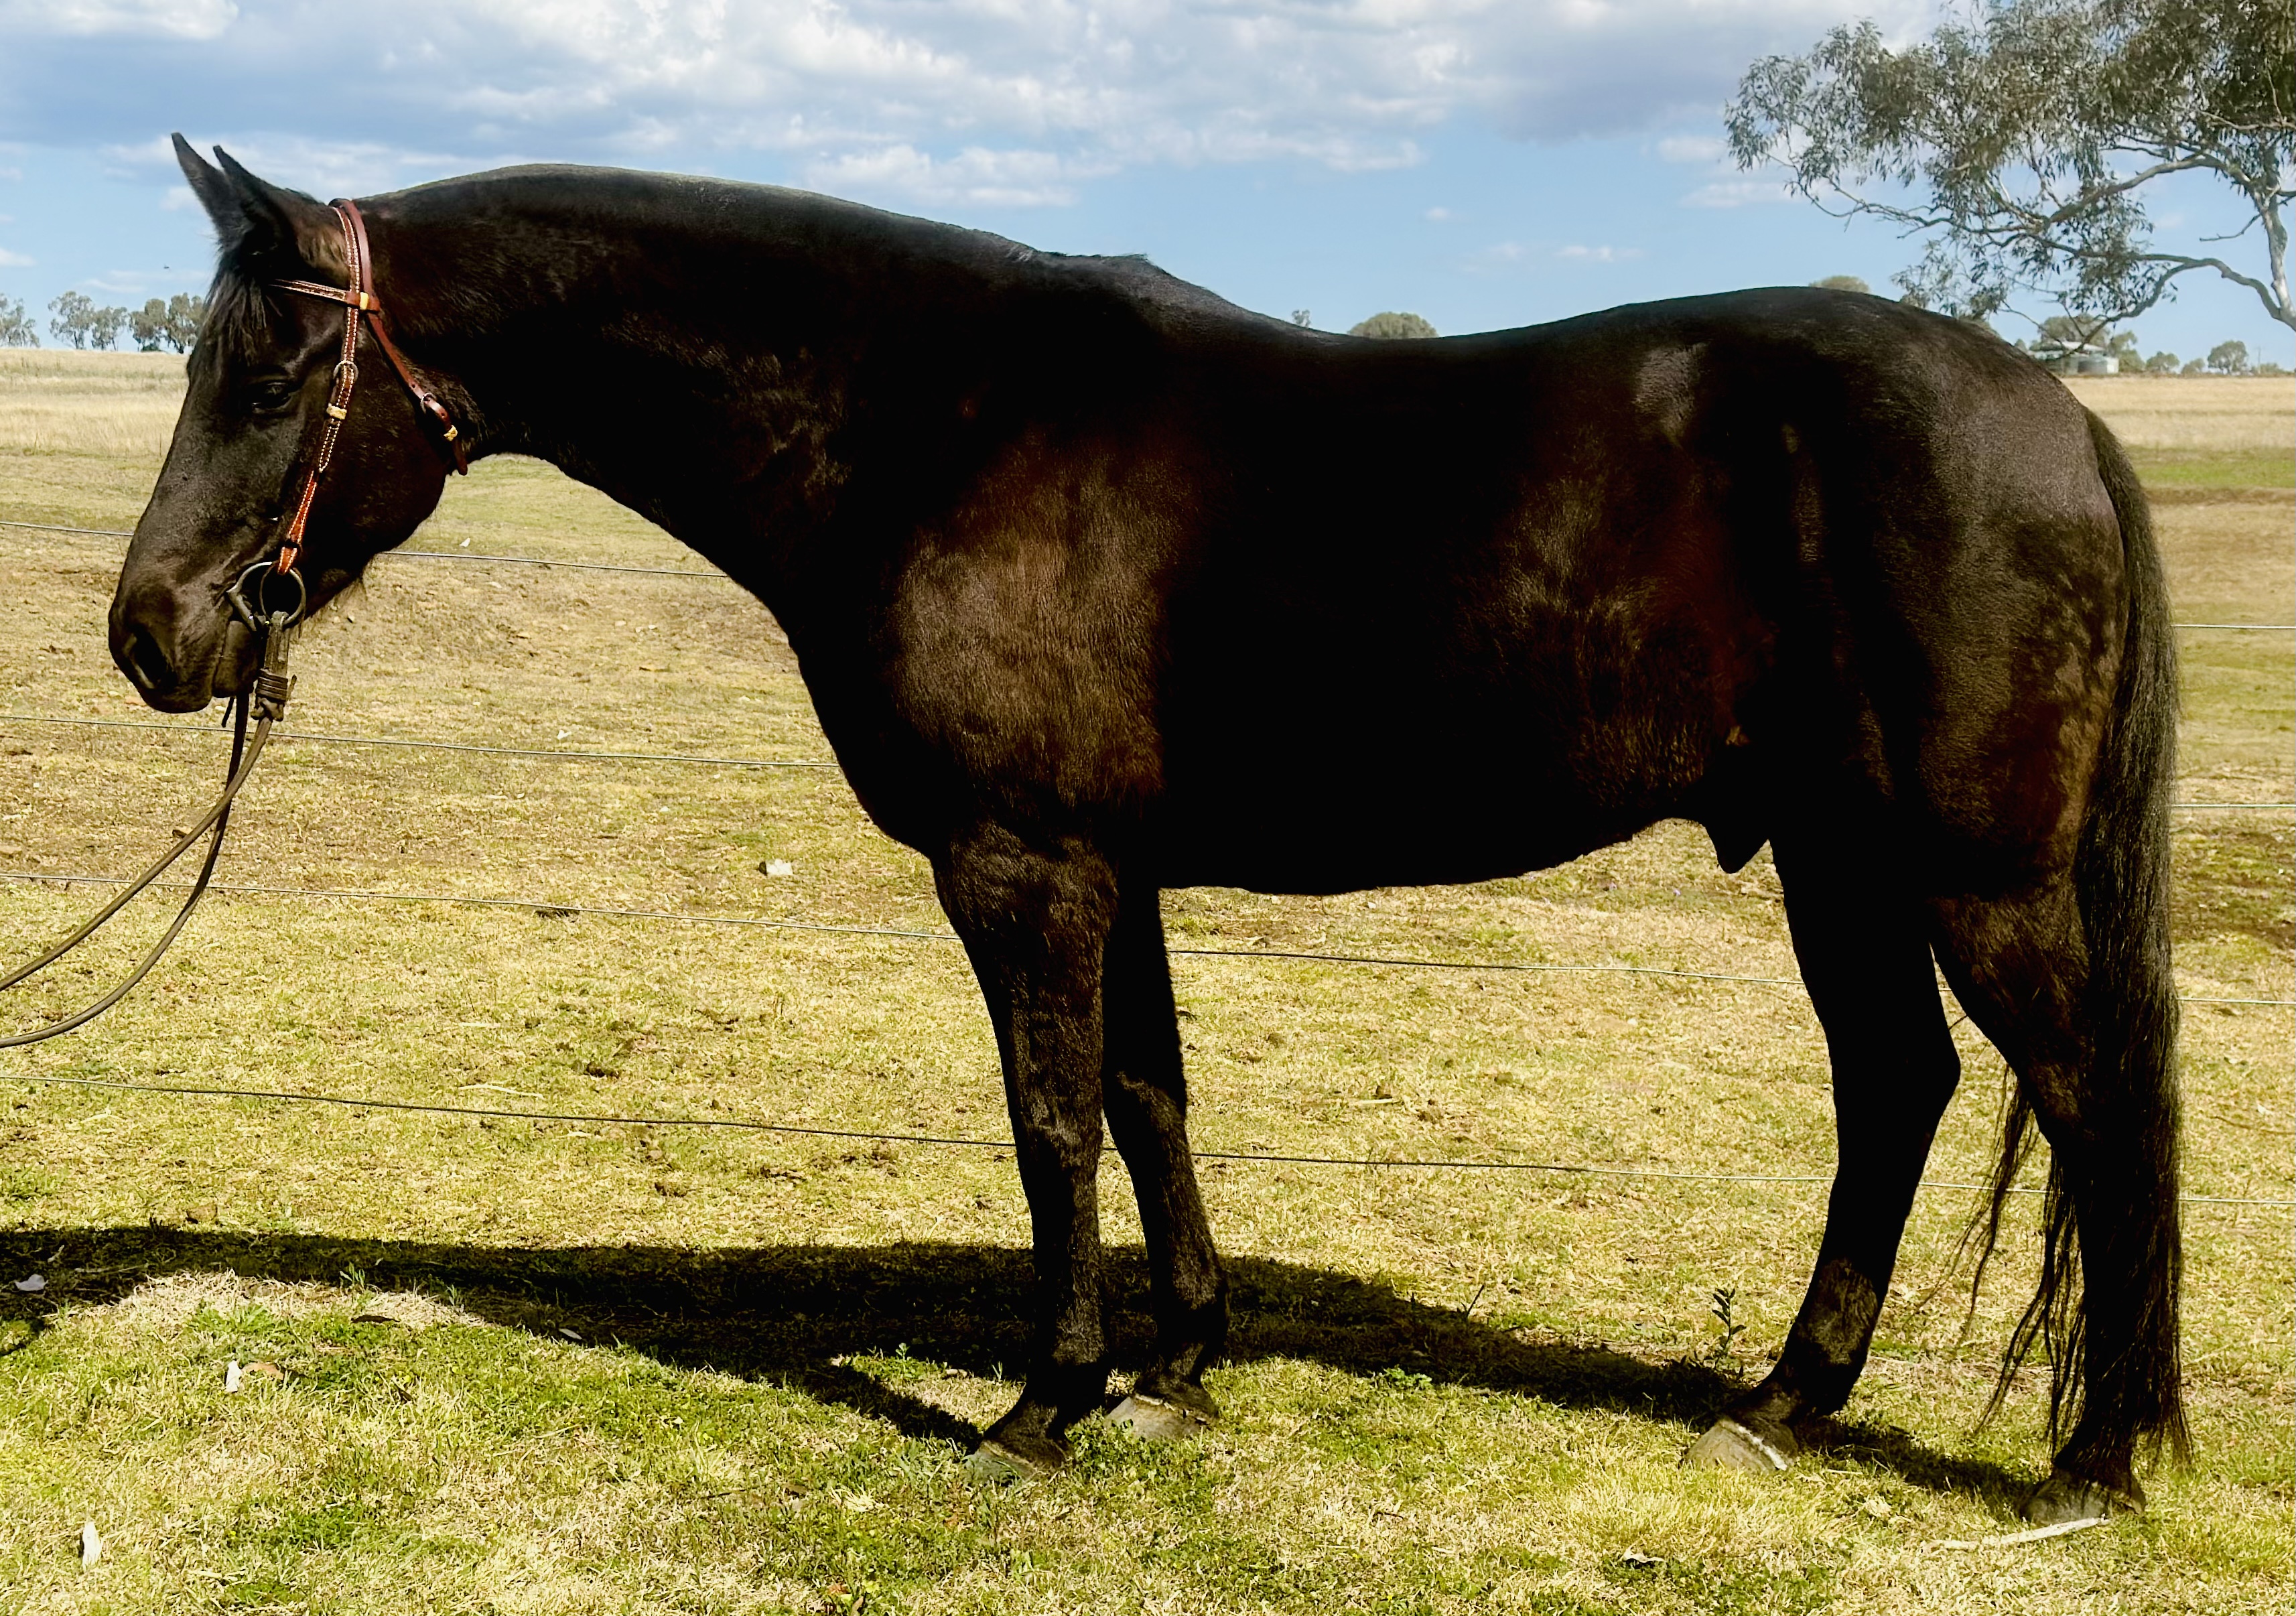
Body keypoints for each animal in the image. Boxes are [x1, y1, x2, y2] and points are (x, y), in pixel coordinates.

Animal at [110, 137, 2185, 1524]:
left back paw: (2089, 1458)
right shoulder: (1117, 866)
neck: (932, 421)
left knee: (2090, 1097)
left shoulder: (1018, 860)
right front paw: (1182, 1357)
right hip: (1842, 859)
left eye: (270, 376)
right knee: (1897, 1087)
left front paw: (1048, 1396)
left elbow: (1048, 1114)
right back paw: (1785, 1396)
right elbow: (1146, 1090)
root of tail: (2061, 417)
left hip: (1972, 876)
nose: (153, 635)